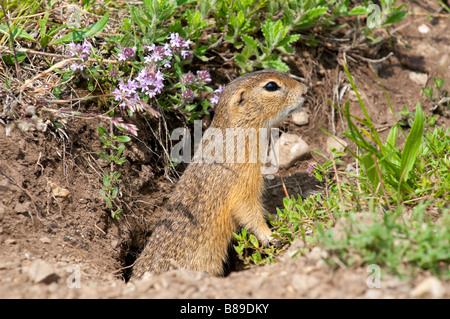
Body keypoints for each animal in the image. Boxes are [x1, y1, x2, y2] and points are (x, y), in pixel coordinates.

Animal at [130, 70, 306, 280]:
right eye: (271, 86)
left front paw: (275, 216)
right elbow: (249, 212)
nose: (305, 90)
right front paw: (270, 236)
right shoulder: (242, 185)